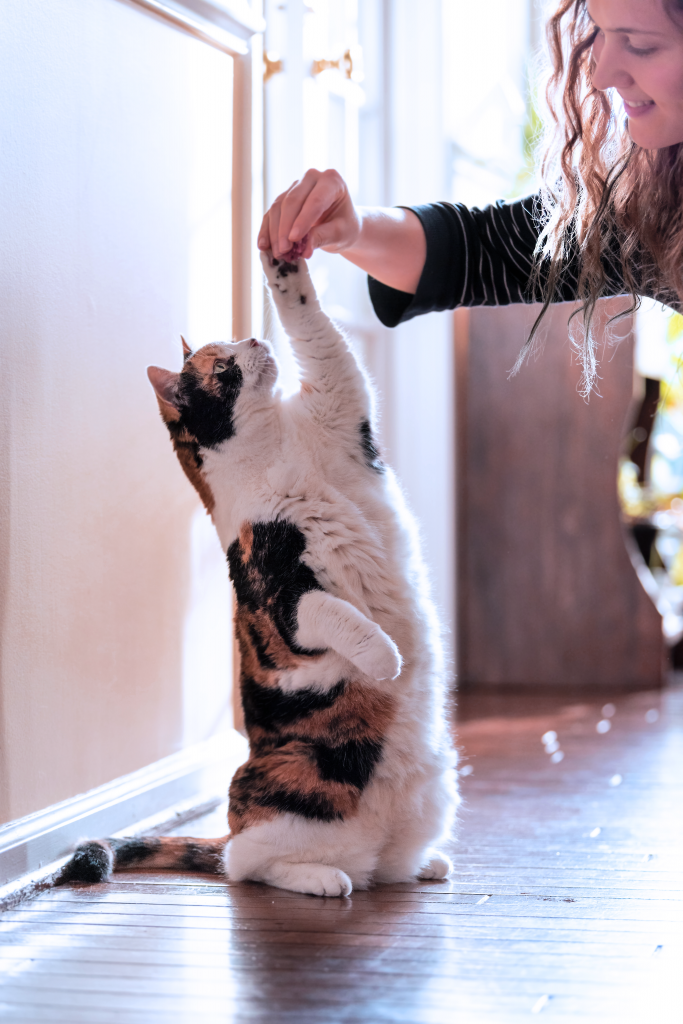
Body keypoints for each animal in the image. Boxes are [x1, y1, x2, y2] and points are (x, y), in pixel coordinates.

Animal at [57, 253, 454, 897]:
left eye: (234, 343)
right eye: (223, 366)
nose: (253, 339)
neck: (277, 446)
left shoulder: (339, 401)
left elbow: (318, 333)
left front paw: (282, 262)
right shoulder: (277, 597)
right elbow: (332, 614)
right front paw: (385, 657)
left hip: (434, 794)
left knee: (364, 864)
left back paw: (422, 864)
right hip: (289, 785)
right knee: (246, 864)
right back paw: (323, 878)